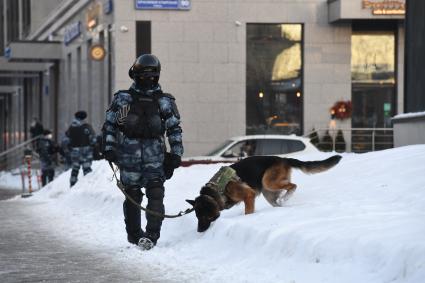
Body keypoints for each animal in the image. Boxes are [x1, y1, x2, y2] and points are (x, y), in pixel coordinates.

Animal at [186, 155, 342, 233]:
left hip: (268, 182)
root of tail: (283, 159)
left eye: (203, 216)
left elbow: (248, 212)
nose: (199, 231)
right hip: (269, 193)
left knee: (293, 186)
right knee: (278, 200)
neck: (217, 191)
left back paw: (286, 197)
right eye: (197, 217)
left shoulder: (249, 195)